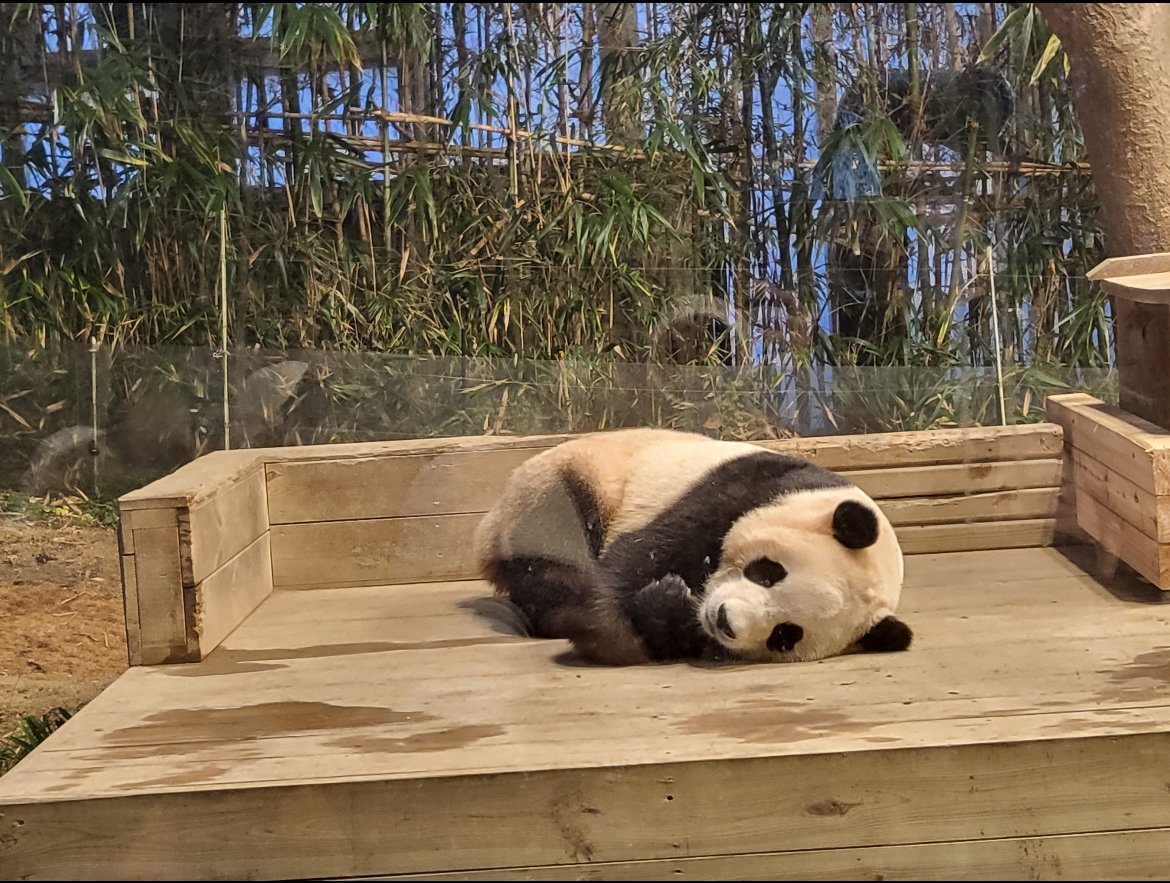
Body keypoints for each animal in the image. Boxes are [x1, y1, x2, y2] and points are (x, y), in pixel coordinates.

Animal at [475, 425, 912, 664]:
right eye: (768, 572)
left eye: (785, 635)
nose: (724, 619)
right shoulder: (743, 491)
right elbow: (639, 555)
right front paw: (608, 635)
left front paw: (667, 602)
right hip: (563, 486)